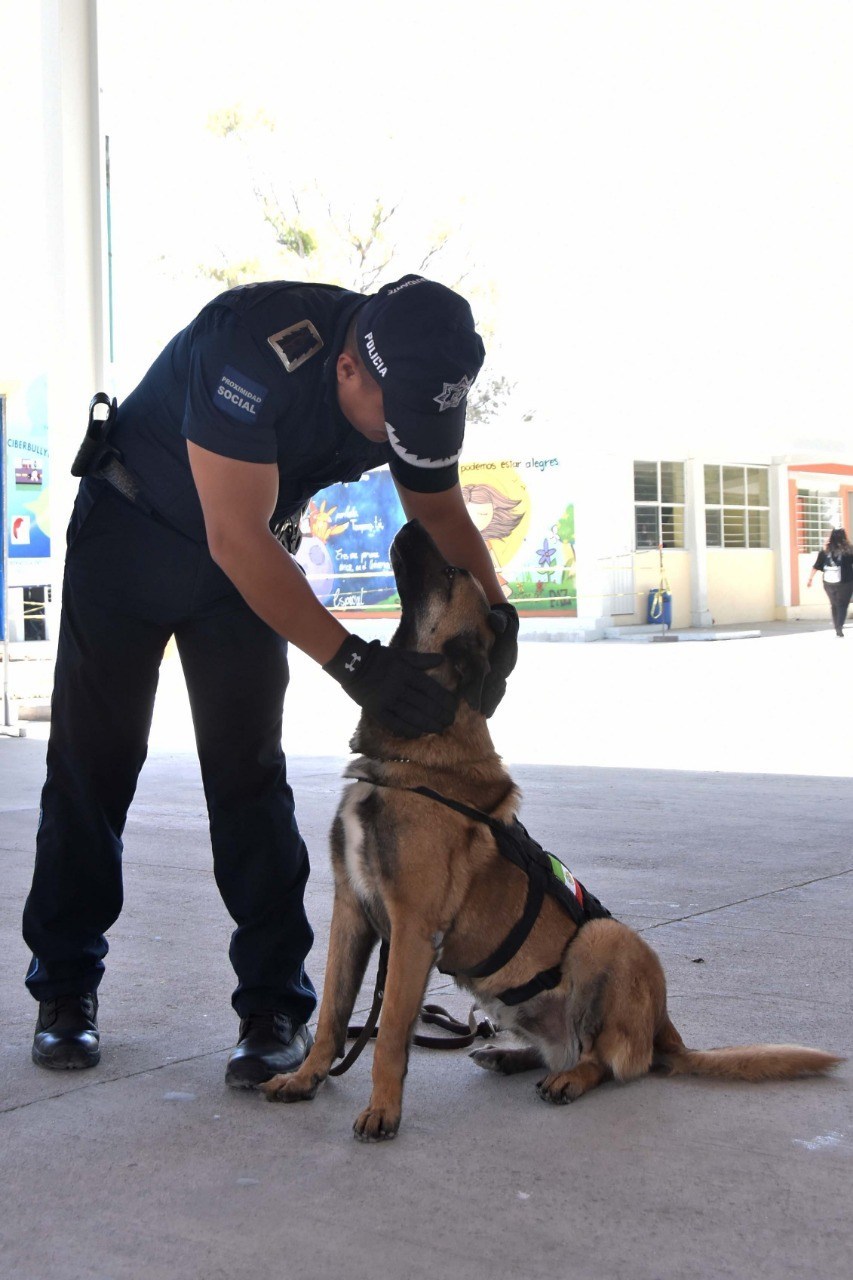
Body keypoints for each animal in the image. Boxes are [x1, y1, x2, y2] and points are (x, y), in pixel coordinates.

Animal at [262, 519, 844, 1140]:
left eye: (451, 573)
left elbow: (390, 1034)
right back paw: (511, 1055)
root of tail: (666, 1031)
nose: (415, 523)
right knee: (561, 1049)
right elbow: (333, 1014)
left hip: (605, 938)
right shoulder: (352, 912)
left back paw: (570, 1079)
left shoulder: (411, 931)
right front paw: (306, 1078)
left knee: (608, 1061)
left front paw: (382, 1110)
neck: (415, 755)